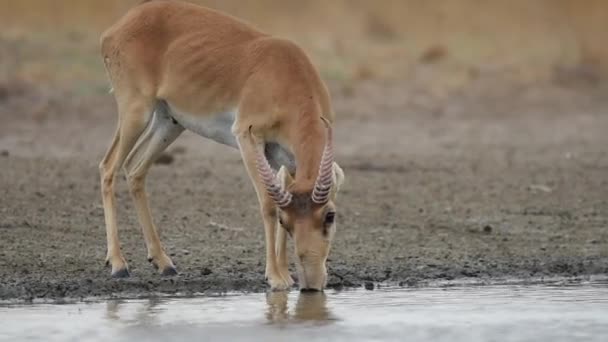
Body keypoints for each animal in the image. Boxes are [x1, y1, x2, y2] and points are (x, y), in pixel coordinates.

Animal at [101, 0, 346, 292]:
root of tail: (115, 30)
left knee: (135, 168)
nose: (311, 284)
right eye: (284, 222)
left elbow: (280, 194)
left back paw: (164, 262)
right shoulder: (248, 137)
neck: (286, 73)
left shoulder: (285, 156)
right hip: (135, 111)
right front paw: (275, 278)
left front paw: (286, 275)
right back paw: (118, 265)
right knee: (108, 167)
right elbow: (267, 203)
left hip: (169, 121)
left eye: (330, 215)